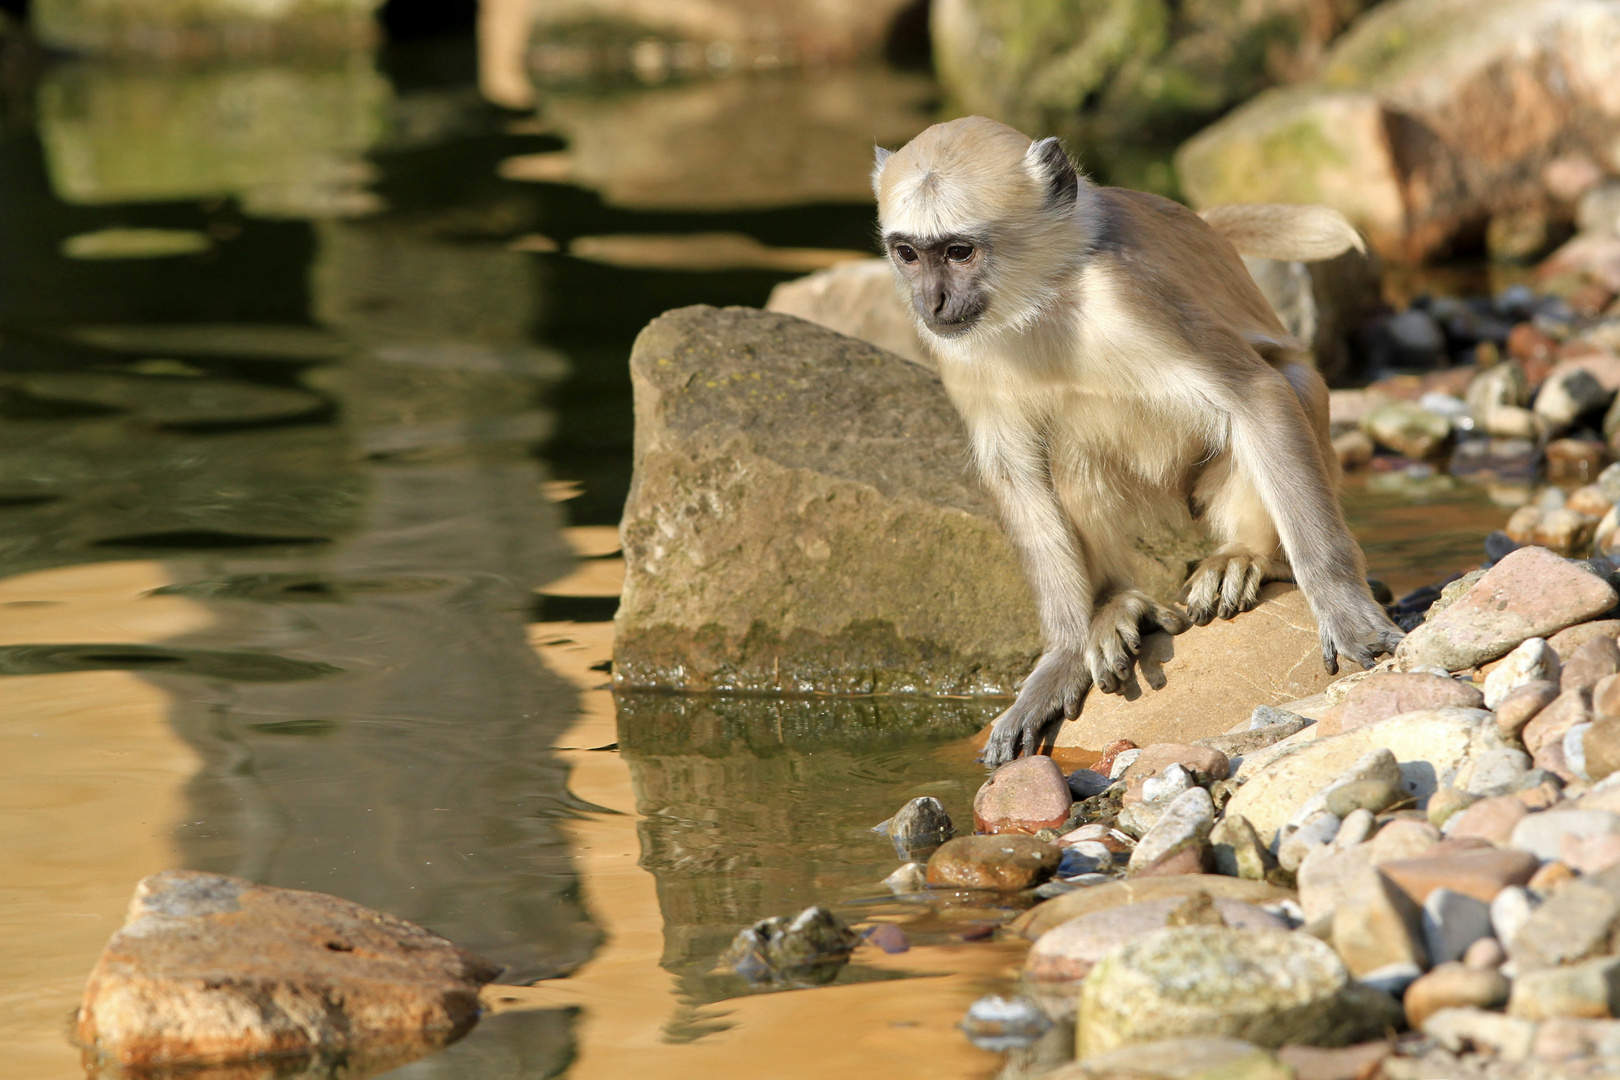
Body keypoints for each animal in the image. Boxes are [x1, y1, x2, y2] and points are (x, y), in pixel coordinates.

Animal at [874, 116, 1406, 767]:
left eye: (958, 251)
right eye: (908, 253)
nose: (932, 301)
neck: (1043, 297)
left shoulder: (1126, 292)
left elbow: (1257, 396)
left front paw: (1339, 604)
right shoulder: (954, 348)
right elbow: (1014, 474)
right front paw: (1062, 657)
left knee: (1288, 385)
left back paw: (1250, 555)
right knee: (1068, 454)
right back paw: (1116, 605)